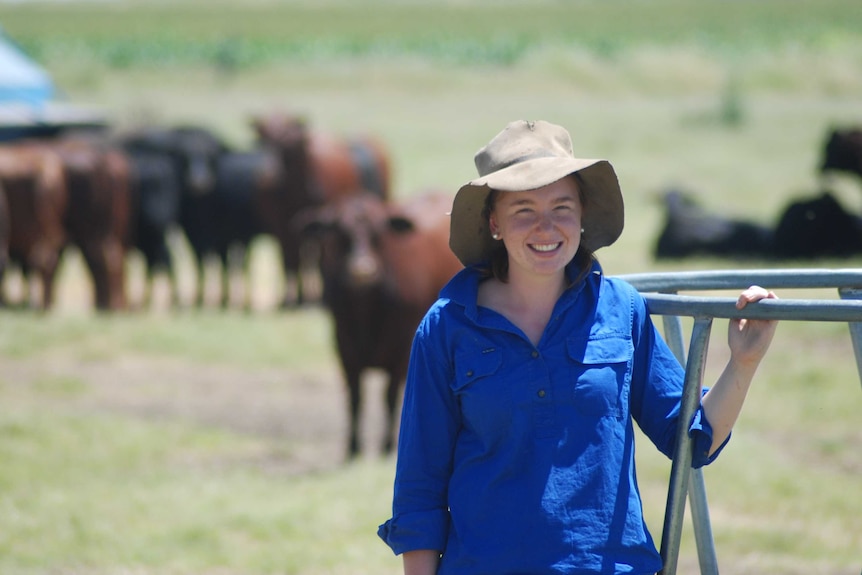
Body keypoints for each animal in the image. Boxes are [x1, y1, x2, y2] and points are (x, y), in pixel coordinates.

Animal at [304, 191, 466, 462]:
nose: (362, 271)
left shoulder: (403, 351)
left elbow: (389, 397)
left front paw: (387, 445)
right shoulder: (344, 347)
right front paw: (353, 447)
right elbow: (355, 397)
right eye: (340, 233)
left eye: (378, 233)